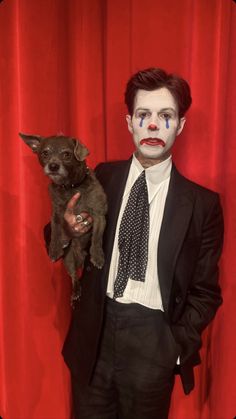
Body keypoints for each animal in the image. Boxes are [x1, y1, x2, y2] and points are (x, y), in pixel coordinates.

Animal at [20, 133, 107, 304]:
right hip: (69, 261)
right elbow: (55, 232)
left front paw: (97, 256)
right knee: (74, 277)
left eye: (66, 154)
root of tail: (81, 258)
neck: (71, 186)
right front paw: (54, 249)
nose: (53, 166)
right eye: (45, 153)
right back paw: (75, 292)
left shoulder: (99, 215)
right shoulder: (56, 215)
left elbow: (97, 238)